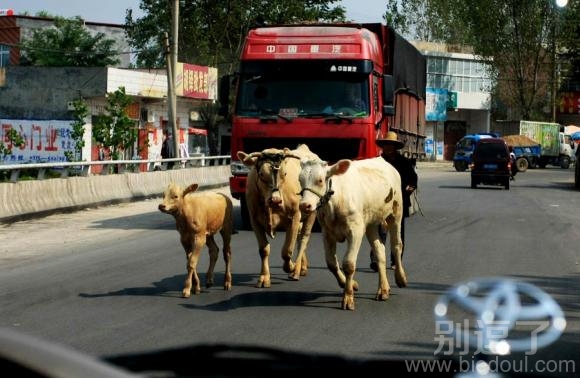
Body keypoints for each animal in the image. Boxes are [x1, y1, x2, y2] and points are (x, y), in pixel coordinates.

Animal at [237, 144, 320, 286]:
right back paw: (302, 268)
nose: (275, 200)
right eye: (261, 174)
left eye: (285, 174)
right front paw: (264, 277)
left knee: (303, 239)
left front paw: (291, 266)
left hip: (311, 212)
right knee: (299, 238)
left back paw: (296, 270)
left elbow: (287, 251)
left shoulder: (295, 216)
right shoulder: (254, 220)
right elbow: (264, 250)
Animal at [296, 157, 406, 310]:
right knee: (379, 250)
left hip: (396, 212)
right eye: (300, 180)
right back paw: (383, 289)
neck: (335, 200)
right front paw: (350, 284)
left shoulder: (355, 231)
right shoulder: (327, 232)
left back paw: (401, 278)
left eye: (320, 180)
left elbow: (348, 264)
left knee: (396, 245)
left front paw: (348, 298)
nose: (304, 205)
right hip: (370, 223)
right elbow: (331, 263)